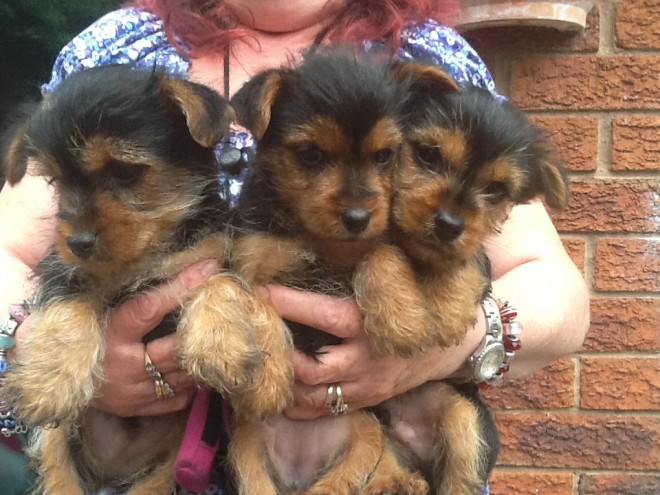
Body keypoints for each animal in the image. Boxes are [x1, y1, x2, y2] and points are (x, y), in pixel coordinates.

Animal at [1, 66, 288, 495]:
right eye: (54, 183)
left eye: (125, 171)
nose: (78, 242)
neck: (151, 251)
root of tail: (110, 470)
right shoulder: (62, 266)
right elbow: (69, 300)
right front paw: (49, 380)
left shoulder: (222, 251)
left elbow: (219, 282)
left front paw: (219, 345)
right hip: (54, 443)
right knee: (58, 474)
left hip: (171, 461)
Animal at [227, 51, 458, 495]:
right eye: (311, 155)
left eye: (385, 156)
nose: (356, 218)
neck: (315, 237)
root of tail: (299, 465)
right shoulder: (248, 261)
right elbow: (257, 300)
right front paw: (267, 381)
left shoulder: (380, 236)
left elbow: (381, 250)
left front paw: (401, 320)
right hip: (244, 445)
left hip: (365, 434)